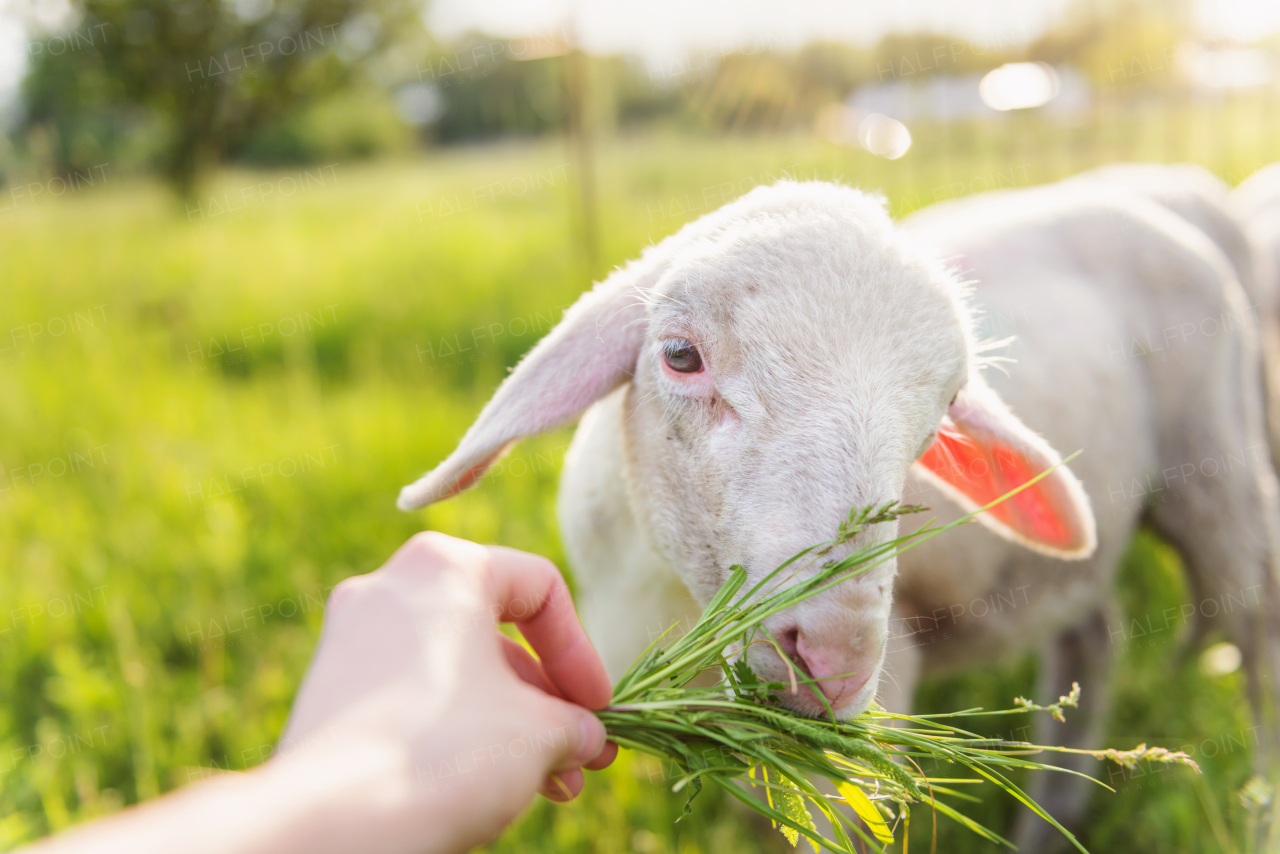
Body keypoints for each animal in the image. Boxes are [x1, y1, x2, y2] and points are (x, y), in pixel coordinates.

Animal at [399, 180, 1280, 850]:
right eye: (680, 356)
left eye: (947, 406)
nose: (835, 658)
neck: (673, 596)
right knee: (1089, 639)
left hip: (1221, 472)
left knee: (1257, 640)